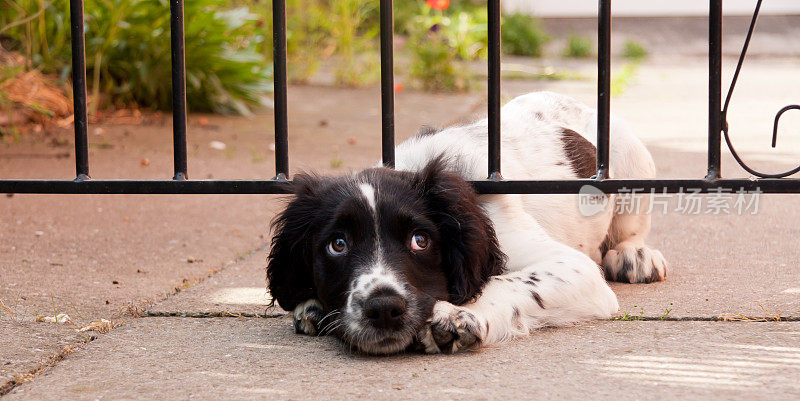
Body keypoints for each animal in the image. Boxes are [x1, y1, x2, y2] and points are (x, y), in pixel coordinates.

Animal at [266, 90, 664, 354]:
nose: (383, 308)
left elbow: (508, 282)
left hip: (632, 169)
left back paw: (635, 256)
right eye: (338, 245)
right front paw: (312, 304)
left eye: (420, 240)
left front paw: (460, 314)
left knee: (630, 231)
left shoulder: (573, 266)